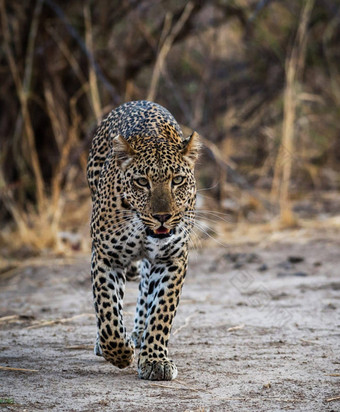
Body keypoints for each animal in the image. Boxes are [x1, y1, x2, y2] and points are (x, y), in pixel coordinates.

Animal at [86, 99, 201, 380]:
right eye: (141, 182)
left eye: (177, 180)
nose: (162, 217)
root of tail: (139, 101)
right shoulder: (106, 256)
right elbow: (107, 311)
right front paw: (119, 352)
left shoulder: (172, 258)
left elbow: (161, 312)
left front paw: (155, 360)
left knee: (146, 284)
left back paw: (139, 331)